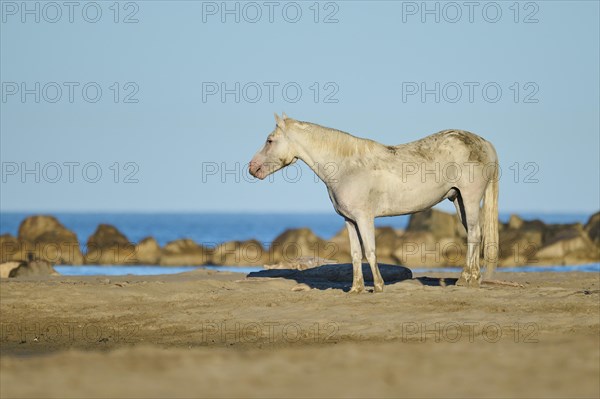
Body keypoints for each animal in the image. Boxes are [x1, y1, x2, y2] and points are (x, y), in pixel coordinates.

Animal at [251, 113, 500, 294]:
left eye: (270, 140)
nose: (252, 168)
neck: (346, 167)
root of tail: (485, 143)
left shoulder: (364, 218)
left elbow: (369, 251)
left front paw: (378, 286)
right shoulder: (350, 220)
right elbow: (354, 254)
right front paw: (356, 289)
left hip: (469, 198)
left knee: (474, 235)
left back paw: (467, 279)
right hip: (458, 199)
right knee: (474, 234)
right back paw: (471, 278)